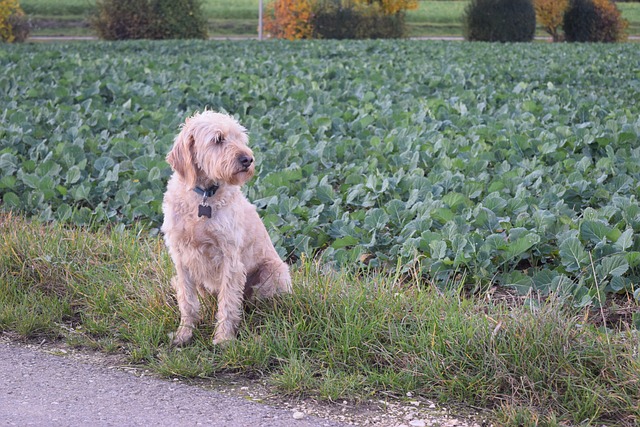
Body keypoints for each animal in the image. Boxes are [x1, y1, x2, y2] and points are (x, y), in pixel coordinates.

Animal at [161, 112, 292, 346]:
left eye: (240, 138)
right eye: (218, 139)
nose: (248, 159)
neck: (203, 196)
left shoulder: (230, 259)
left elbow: (228, 303)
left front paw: (223, 339)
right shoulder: (181, 258)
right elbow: (187, 301)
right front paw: (183, 334)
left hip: (273, 275)